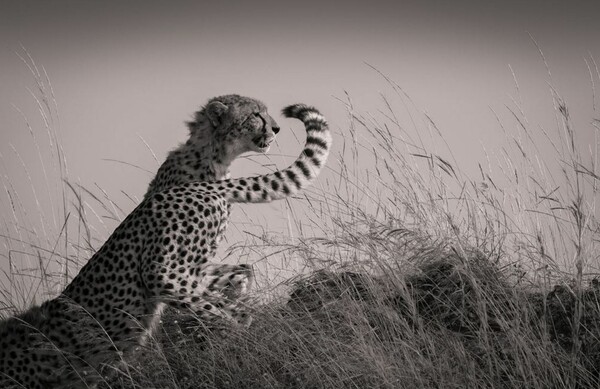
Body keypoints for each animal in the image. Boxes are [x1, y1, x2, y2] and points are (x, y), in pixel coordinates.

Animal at [0, 101, 330, 386]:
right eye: (255, 114)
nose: (274, 128)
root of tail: (201, 187)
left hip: (163, 274)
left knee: (232, 312)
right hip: (187, 266)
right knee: (238, 278)